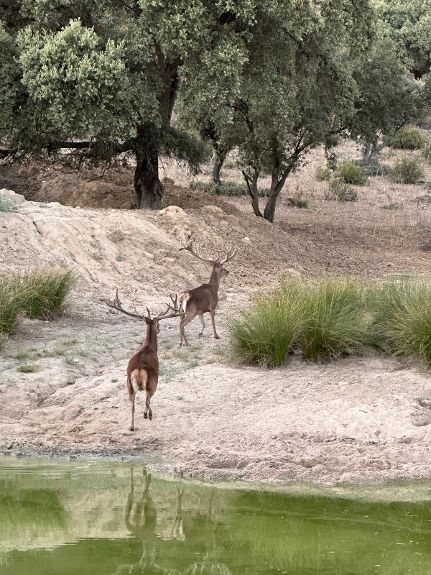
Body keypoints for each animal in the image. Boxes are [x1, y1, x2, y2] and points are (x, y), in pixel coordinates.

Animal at [105, 292, 182, 432]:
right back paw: (148, 414)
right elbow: (148, 400)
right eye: (158, 324)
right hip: (152, 382)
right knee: (147, 399)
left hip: (129, 385)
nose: (159, 329)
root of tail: (139, 370)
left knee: (132, 405)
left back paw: (132, 426)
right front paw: (146, 413)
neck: (150, 348)